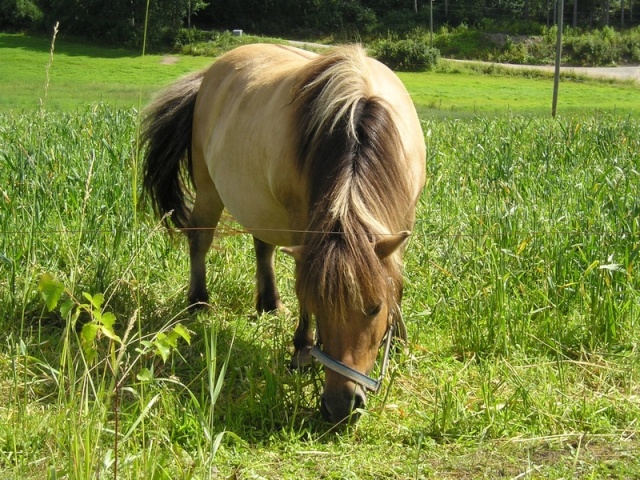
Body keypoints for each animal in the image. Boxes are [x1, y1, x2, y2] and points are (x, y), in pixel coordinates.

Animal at [142, 43, 428, 422]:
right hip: (208, 189)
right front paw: (303, 349)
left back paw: (269, 304)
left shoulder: (403, 216)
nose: (339, 406)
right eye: (321, 309)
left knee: (262, 247)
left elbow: (397, 277)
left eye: (374, 308)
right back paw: (199, 301)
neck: (359, 116)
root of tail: (210, 73)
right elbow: (303, 284)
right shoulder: (302, 226)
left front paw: (397, 341)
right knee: (200, 239)